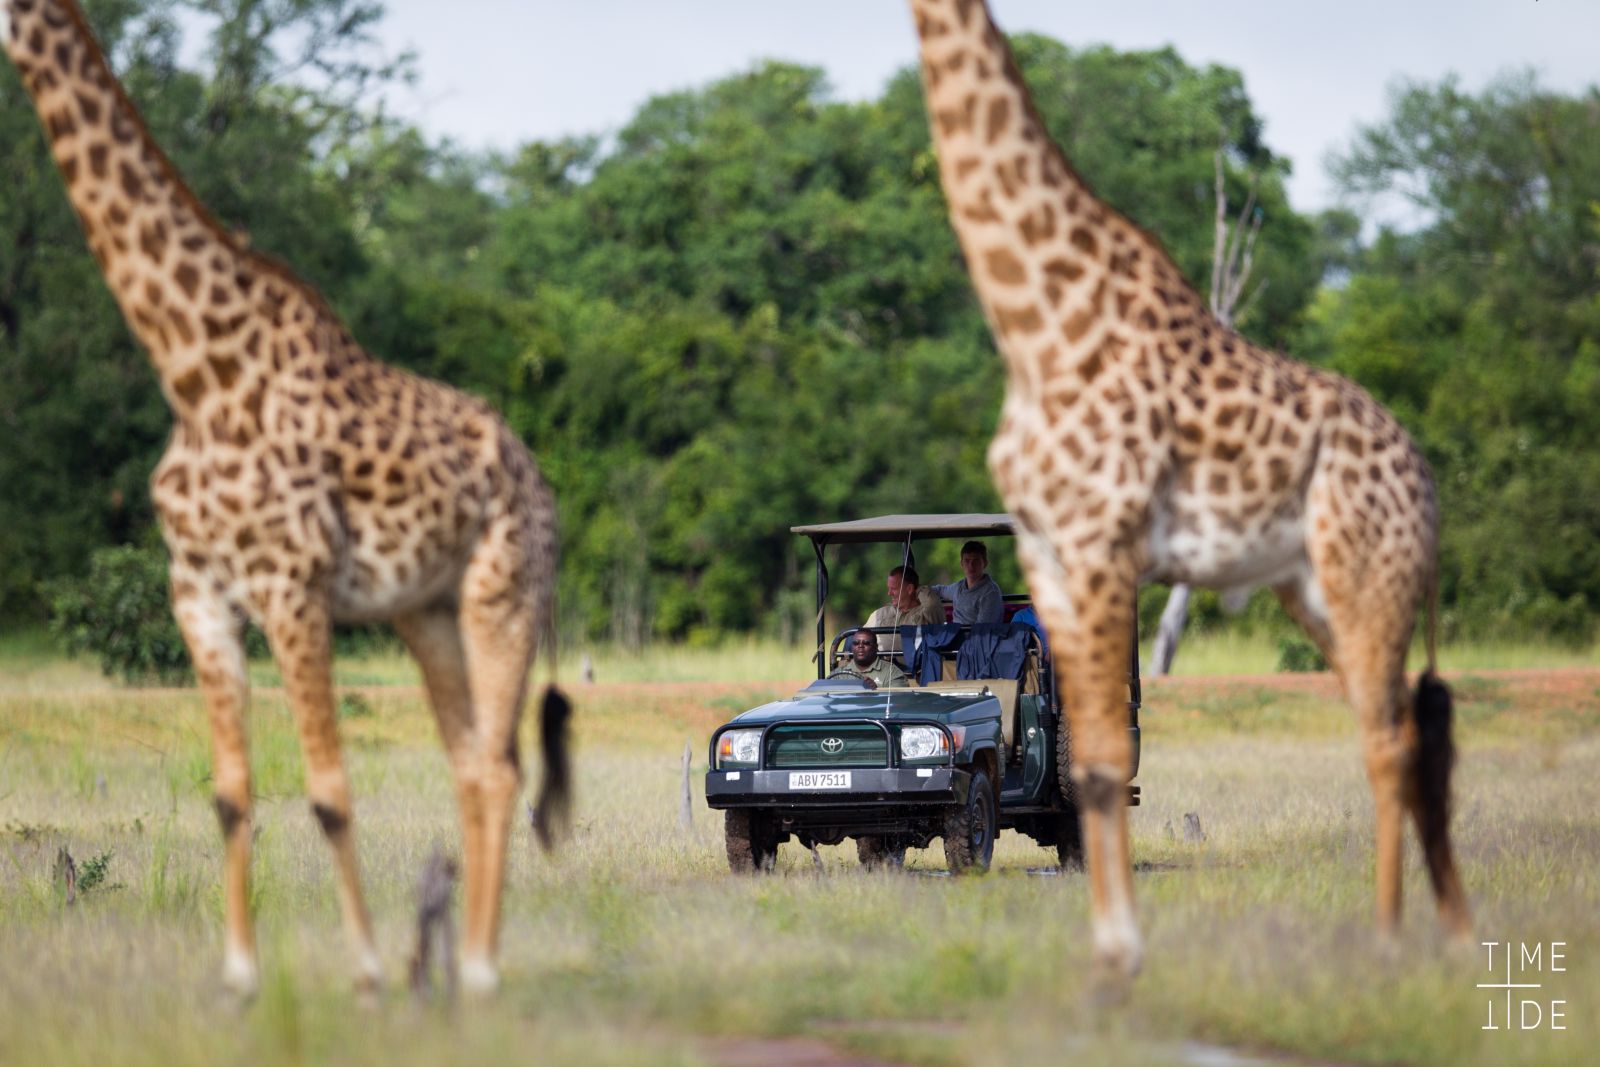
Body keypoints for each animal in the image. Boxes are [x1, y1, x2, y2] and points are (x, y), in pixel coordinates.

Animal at [3, 0, 570, 996]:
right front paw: (239, 978)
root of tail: (539, 481)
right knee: (471, 762)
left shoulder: (293, 587)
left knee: (500, 767)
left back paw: (479, 967)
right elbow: (231, 793)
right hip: (427, 613)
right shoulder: (197, 593)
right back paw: (462, 964)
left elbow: (330, 790)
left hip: (503, 593)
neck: (195, 371)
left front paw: (369, 971)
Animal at [905, 0, 1470, 986]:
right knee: (1406, 731)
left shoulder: (1099, 539)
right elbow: (1090, 762)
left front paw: (1121, 955)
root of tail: (1423, 476)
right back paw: (1451, 931)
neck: (1036, 323)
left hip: (1368, 579)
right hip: (1318, 590)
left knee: (1390, 739)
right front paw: (1108, 952)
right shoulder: (1050, 554)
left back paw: (1390, 940)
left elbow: (1097, 762)